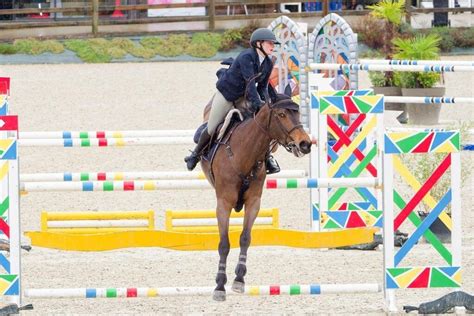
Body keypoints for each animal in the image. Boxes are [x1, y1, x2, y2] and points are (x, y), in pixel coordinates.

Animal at [199, 94, 312, 302]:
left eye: (298, 112)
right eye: (281, 114)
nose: (305, 144)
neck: (244, 155)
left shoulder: (254, 202)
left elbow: (245, 238)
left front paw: (239, 279)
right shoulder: (223, 204)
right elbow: (224, 244)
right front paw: (219, 286)